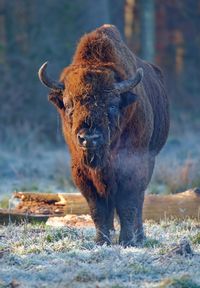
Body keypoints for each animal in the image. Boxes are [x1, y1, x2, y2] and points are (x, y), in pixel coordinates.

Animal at [38, 24, 169, 245]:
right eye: (68, 104)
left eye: (112, 105)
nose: (89, 138)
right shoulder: (82, 173)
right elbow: (98, 208)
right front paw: (102, 240)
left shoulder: (132, 166)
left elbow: (128, 204)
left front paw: (127, 241)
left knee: (139, 201)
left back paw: (140, 236)